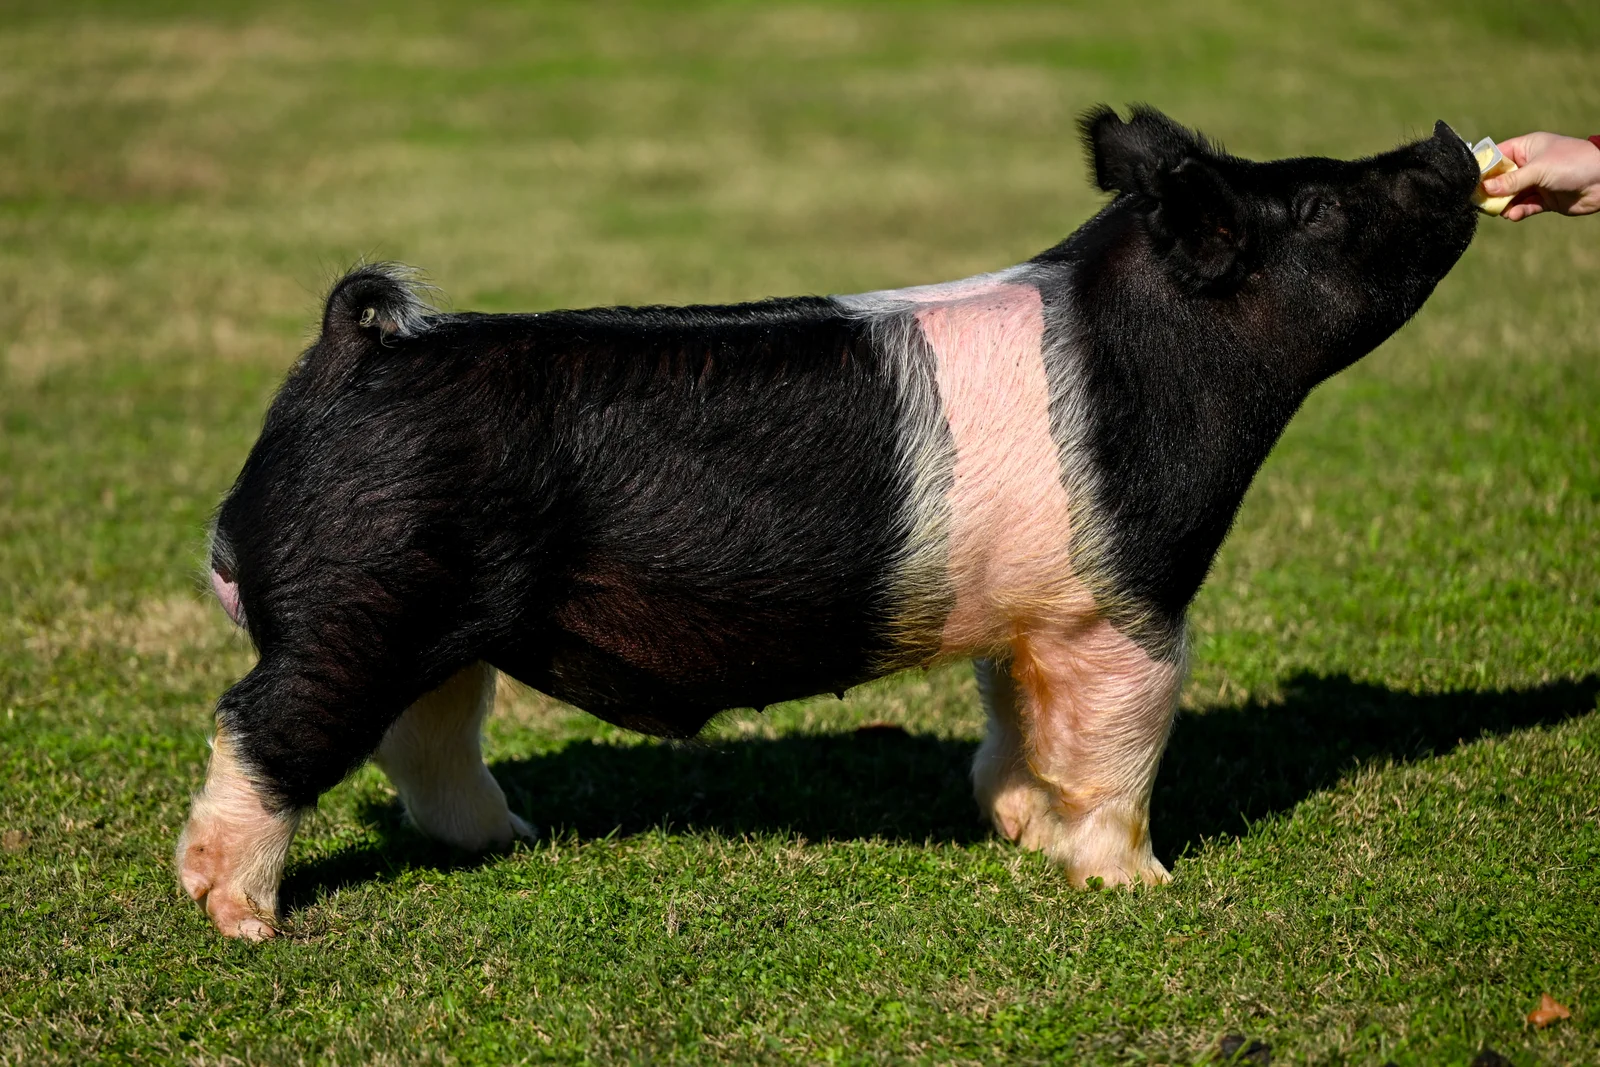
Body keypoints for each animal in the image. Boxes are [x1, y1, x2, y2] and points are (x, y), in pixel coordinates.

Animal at [177, 106, 1479, 938]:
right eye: (1312, 202)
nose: (1444, 140)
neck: (1159, 364)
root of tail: (354, 352)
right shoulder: (1124, 603)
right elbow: (1122, 743)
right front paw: (1138, 884)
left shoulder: (1029, 618)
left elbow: (1016, 726)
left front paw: (1017, 831)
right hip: (363, 596)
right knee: (263, 722)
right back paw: (240, 920)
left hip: (437, 608)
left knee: (426, 733)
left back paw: (511, 838)